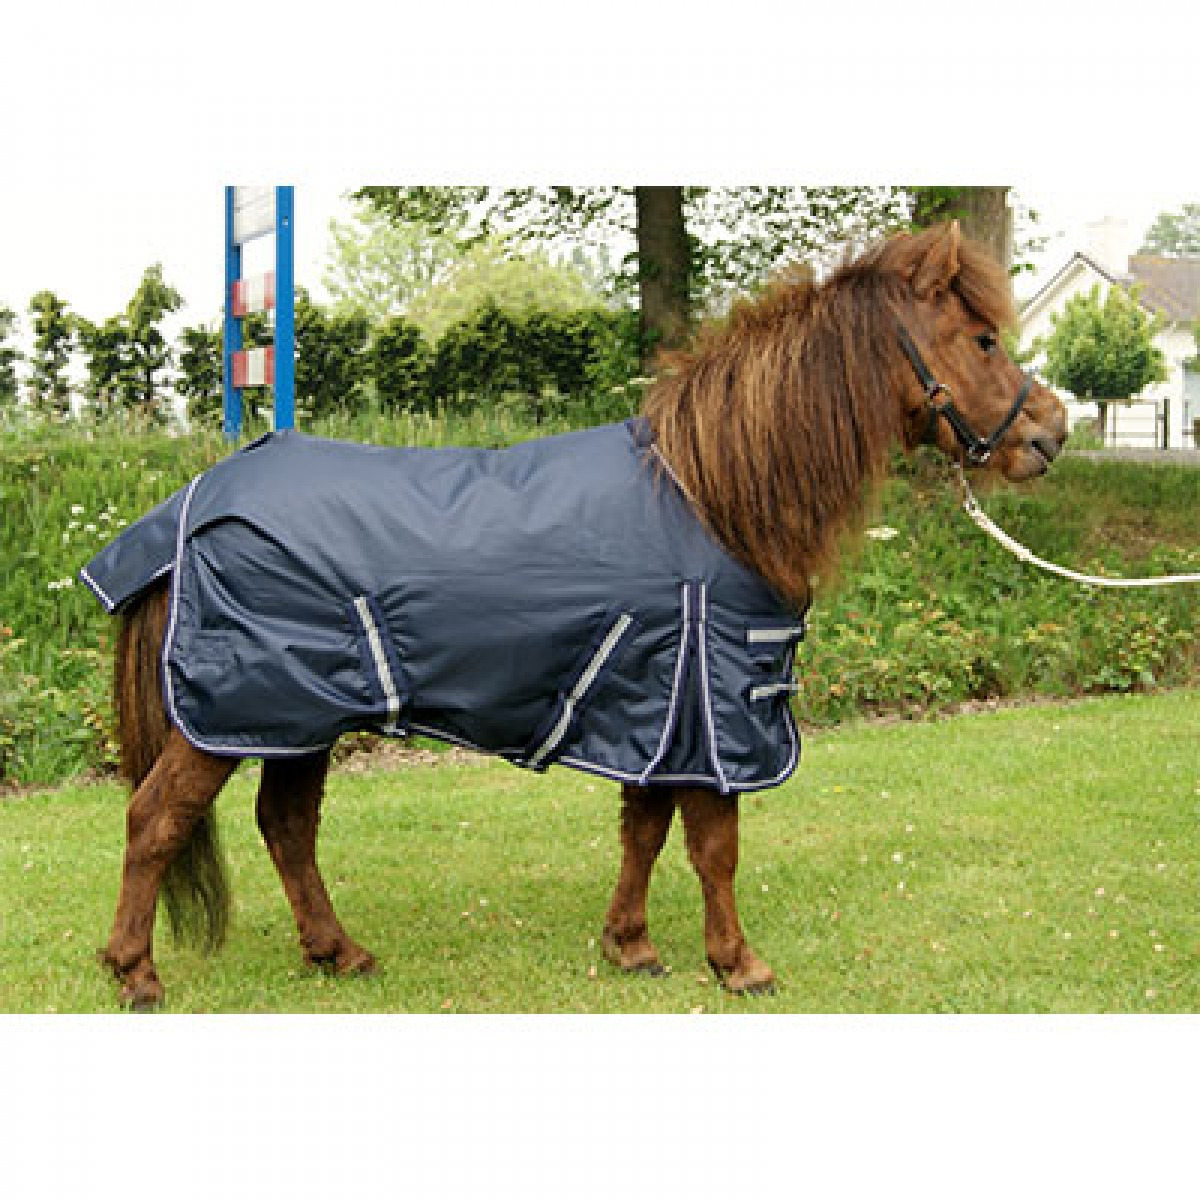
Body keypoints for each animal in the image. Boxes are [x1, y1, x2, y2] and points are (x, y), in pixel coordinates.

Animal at [90, 221, 1067, 1010]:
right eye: (983, 337)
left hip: (298, 718)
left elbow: (646, 831)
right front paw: (739, 963)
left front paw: (630, 946)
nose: (1050, 434)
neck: (716, 493)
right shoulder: (711, 706)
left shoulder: (658, 708)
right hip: (236, 713)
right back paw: (136, 972)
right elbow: (713, 843)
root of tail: (193, 505)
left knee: (287, 829)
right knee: (154, 821)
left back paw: (339, 952)